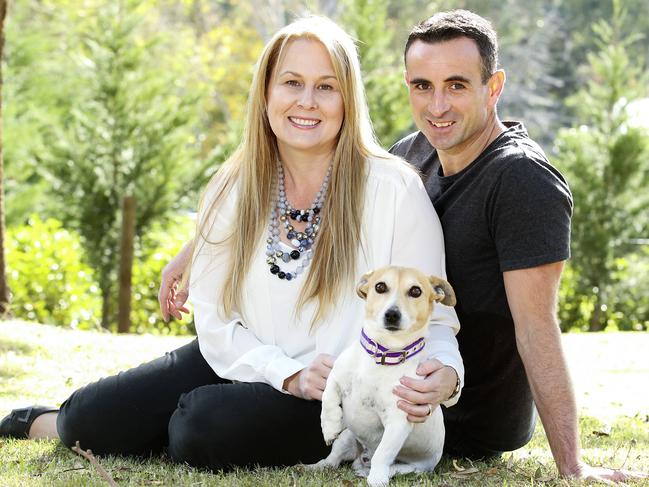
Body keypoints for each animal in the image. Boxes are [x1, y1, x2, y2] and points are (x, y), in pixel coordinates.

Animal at [310, 266, 454, 487]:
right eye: (380, 286)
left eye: (415, 291)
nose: (392, 314)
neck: (383, 355)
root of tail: (362, 458)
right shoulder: (335, 376)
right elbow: (328, 396)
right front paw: (330, 426)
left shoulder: (398, 422)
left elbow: (383, 453)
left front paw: (377, 478)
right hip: (348, 437)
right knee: (333, 459)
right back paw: (317, 466)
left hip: (415, 468)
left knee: (391, 465)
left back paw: (372, 472)